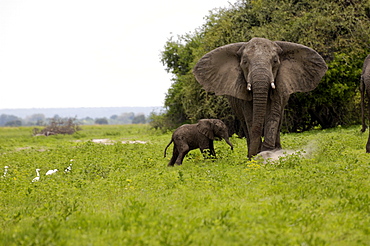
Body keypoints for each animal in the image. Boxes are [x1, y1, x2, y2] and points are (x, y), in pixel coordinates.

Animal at [194, 37, 326, 159]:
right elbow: (250, 117)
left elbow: (273, 115)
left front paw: (268, 153)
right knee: (244, 123)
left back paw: (277, 149)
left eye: (275, 61)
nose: (255, 154)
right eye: (245, 62)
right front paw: (258, 155)